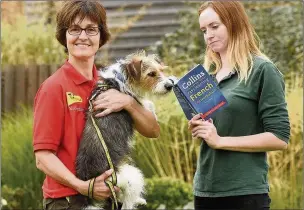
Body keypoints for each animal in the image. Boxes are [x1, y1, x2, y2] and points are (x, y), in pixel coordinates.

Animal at [75, 50, 177, 209]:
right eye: (151, 73)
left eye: (161, 70)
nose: (169, 85)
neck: (121, 78)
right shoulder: (137, 100)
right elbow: (148, 104)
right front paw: (153, 112)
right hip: (130, 177)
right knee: (126, 202)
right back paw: (137, 200)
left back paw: (139, 200)